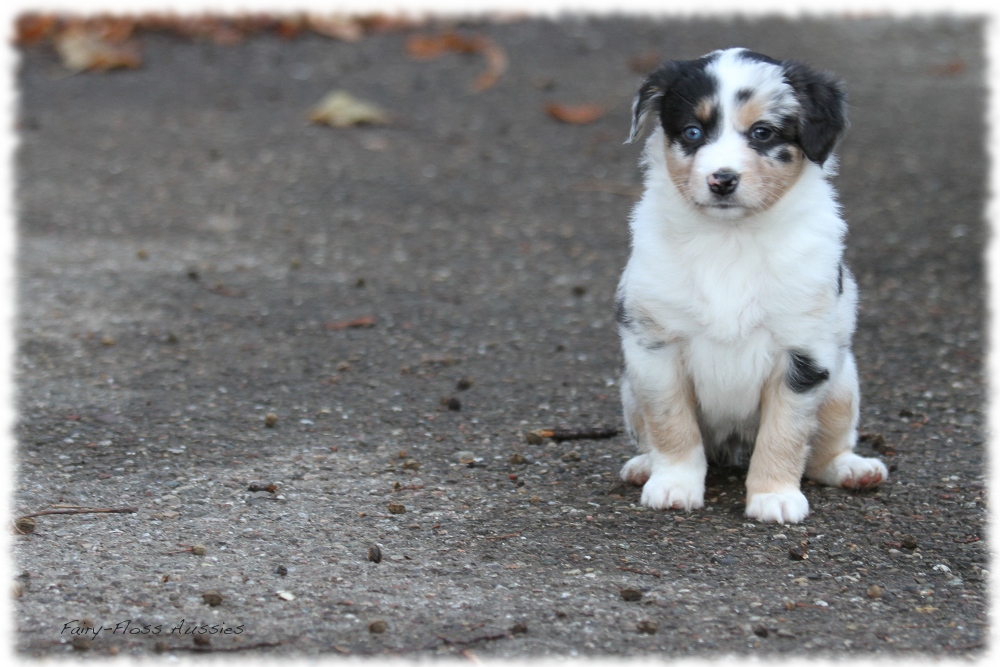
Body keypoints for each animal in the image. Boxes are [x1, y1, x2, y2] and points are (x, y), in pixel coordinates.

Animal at [616, 49, 892, 524]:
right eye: (692, 132)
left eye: (762, 133)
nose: (721, 179)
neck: (731, 239)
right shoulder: (654, 344)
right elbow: (672, 424)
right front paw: (674, 485)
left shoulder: (804, 352)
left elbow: (785, 433)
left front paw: (774, 496)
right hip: (630, 388)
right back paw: (644, 466)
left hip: (842, 385)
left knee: (825, 450)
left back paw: (854, 470)